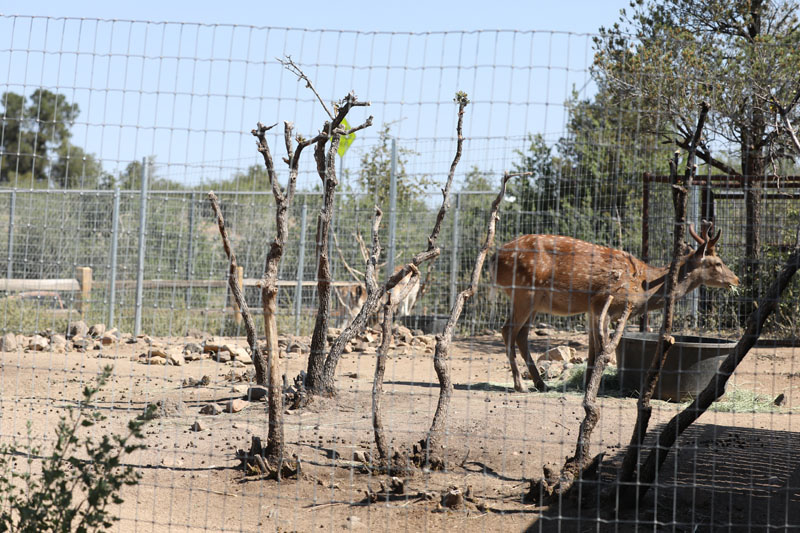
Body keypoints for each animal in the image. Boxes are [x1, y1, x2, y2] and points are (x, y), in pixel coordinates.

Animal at [493, 223, 739, 392]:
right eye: (718, 263)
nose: (736, 279)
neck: (644, 286)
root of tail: (495, 259)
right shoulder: (606, 302)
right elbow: (603, 348)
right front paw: (595, 385)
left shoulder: (593, 308)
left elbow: (593, 349)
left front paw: (589, 385)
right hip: (523, 292)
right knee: (508, 330)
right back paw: (520, 385)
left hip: (535, 301)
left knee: (522, 335)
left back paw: (541, 384)